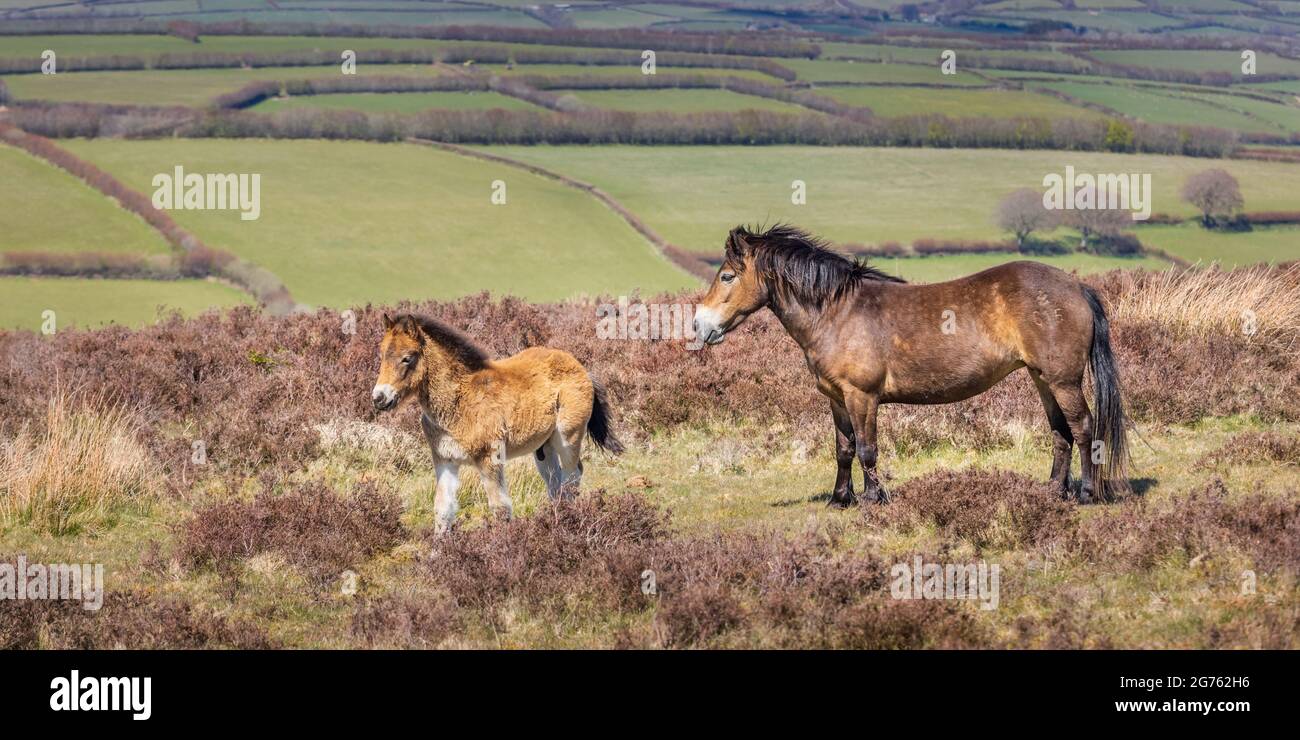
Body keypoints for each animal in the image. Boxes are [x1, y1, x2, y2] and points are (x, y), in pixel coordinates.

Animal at [374, 312, 621, 530]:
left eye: (407, 358)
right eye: (382, 355)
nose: (379, 398)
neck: (459, 400)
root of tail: (581, 368)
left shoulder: (489, 458)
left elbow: (500, 508)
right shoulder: (444, 460)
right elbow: (443, 510)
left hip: (568, 438)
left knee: (571, 477)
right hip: (544, 447)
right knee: (555, 482)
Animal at [696, 222, 1133, 504]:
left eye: (728, 276)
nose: (700, 325)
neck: (837, 312)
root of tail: (1076, 286)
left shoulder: (862, 397)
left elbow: (867, 449)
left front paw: (873, 500)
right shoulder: (836, 398)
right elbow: (843, 448)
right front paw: (839, 499)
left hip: (1063, 380)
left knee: (1083, 428)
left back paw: (1087, 493)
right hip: (1042, 379)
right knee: (1060, 433)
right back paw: (1053, 492)